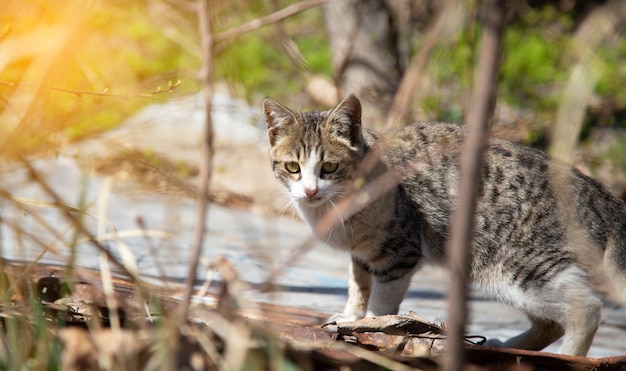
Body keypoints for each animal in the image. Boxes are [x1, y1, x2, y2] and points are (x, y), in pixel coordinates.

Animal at [260, 93, 624, 358]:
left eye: (329, 167)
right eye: (292, 167)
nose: (310, 191)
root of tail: (593, 189)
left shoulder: (399, 252)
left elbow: (381, 300)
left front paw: (373, 327)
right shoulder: (362, 254)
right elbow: (357, 285)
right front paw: (351, 317)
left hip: (521, 268)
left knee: (586, 309)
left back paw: (570, 358)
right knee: (551, 322)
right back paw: (507, 347)